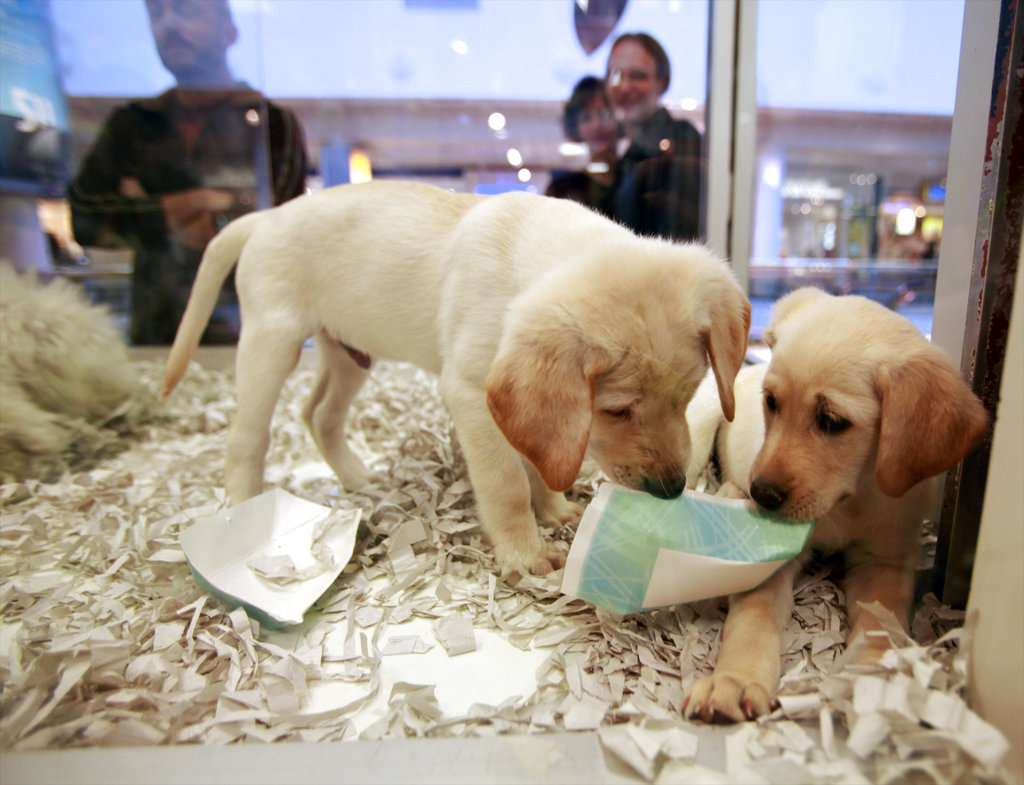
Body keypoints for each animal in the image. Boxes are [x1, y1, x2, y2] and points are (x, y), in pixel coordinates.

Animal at [161, 184, 753, 577]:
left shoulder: (517, 406)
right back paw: (241, 509)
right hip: (272, 340)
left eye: (688, 396)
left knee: (318, 414)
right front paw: (524, 552)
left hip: (349, 354)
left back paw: (360, 480)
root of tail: (267, 215)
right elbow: (506, 480)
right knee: (248, 436)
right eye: (615, 411)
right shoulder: (472, 393)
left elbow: (539, 456)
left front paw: (556, 510)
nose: (672, 489)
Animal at [684, 288, 987, 724]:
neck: (850, 501)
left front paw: (874, 678)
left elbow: (881, 621)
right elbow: (754, 617)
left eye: (831, 420)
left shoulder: (884, 558)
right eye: (771, 402)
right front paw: (735, 680)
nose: (764, 496)